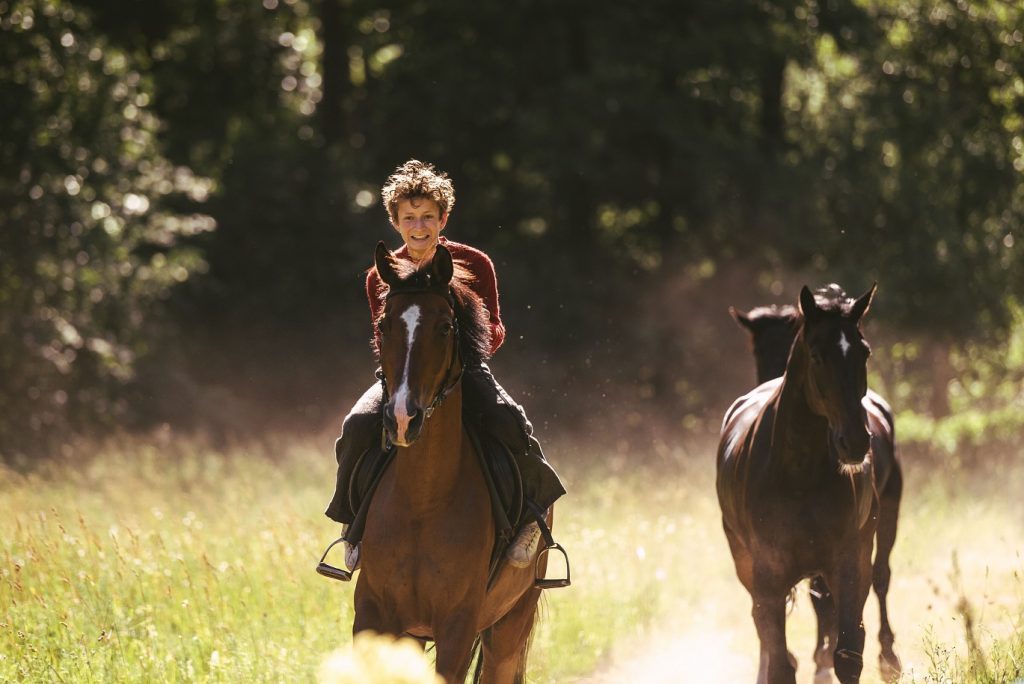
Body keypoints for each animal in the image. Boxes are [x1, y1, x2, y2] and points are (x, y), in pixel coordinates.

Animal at [348, 244, 548, 684]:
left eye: (444, 328)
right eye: (383, 324)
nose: (402, 417)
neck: (422, 502)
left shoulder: (458, 627)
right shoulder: (373, 617)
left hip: (510, 624)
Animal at [729, 296, 905, 679]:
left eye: (864, 352)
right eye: (816, 355)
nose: (855, 441)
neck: (797, 474)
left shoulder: (847, 558)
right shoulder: (766, 569)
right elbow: (774, 638)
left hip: (889, 513)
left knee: (881, 576)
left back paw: (887, 656)